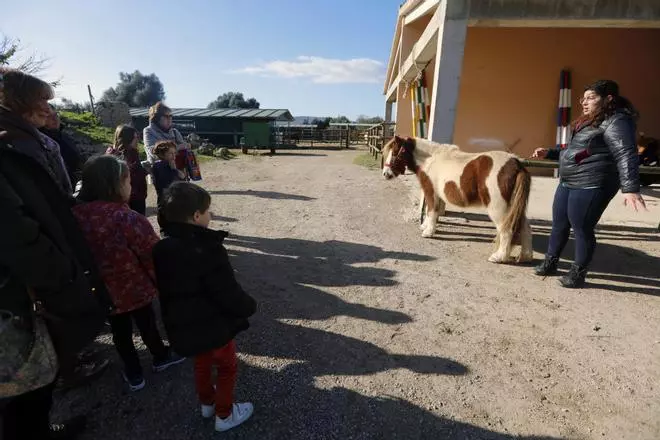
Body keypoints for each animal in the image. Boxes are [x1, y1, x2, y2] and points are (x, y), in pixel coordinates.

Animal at [381, 135, 533, 264]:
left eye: (395, 153)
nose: (385, 174)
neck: (430, 160)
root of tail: (516, 164)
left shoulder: (431, 192)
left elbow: (431, 210)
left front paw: (428, 232)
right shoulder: (438, 195)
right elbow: (432, 211)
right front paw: (426, 226)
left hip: (499, 209)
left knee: (506, 230)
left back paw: (498, 257)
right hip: (514, 207)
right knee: (525, 227)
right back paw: (525, 257)